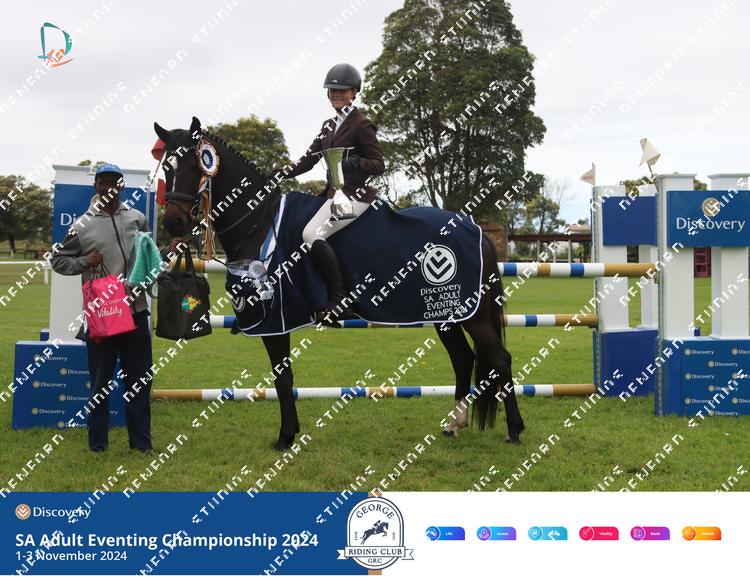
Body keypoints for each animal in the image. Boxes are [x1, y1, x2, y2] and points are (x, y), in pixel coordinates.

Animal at [155, 116, 524, 451]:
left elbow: (282, 376)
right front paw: (291, 433)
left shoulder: (276, 319)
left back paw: (515, 431)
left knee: (499, 359)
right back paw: (454, 425)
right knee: (463, 358)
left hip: (472, 314)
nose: (172, 222)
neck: (259, 220)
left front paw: (285, 437)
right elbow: (284, 376)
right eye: (165, 168)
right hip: (444, 312)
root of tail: (475, 229)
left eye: (195, 164)